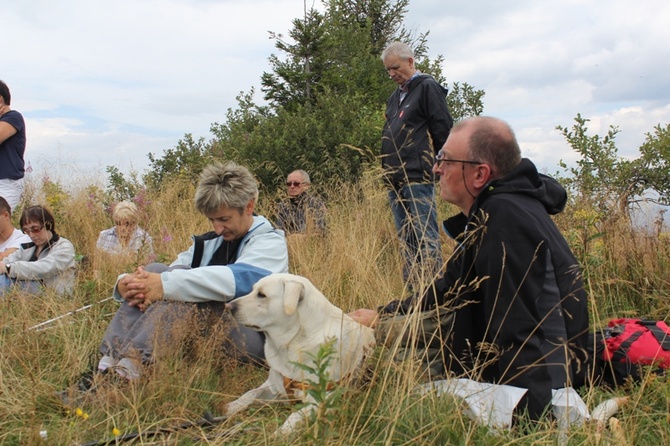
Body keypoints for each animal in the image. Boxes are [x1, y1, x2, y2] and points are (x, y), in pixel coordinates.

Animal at [223, 272, 376, 436]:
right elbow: (250, 394)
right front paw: (230, 407)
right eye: (253, 290)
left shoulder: (320, 399)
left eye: (262, 295)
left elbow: (294, 416)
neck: (291, 343)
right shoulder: (274, 387)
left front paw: (278, 434)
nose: (228, 306)